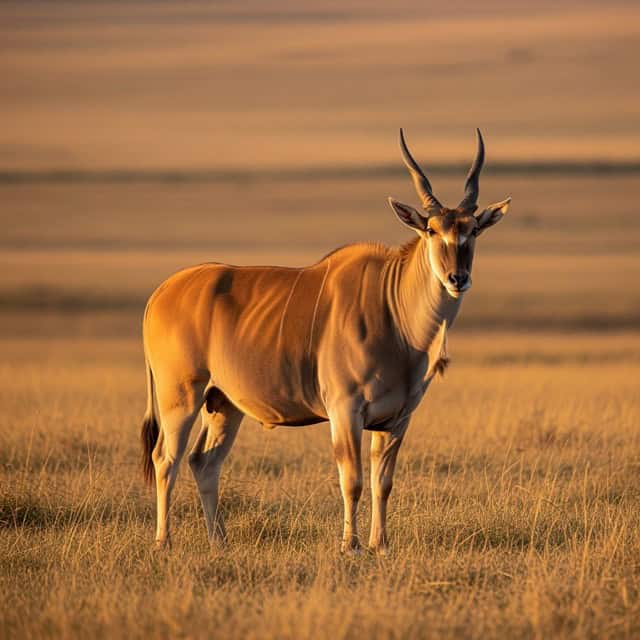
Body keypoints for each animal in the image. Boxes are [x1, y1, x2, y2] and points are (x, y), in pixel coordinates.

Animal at [141, 129, 511, 553]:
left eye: (473, 230)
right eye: (432, 229)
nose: (457, 278)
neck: (393, 310)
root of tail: (161, 293)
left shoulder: (395, 420)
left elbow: (383, 483)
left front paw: (380, 545)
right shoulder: (345, 410)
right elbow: (352, 481)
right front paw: (350, 545)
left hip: (223, 404)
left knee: (204, 462)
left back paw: (219, 542)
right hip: (181, 397)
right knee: (165, 458)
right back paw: (163, 541)